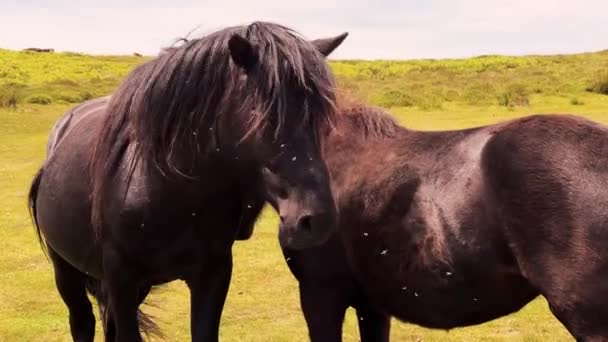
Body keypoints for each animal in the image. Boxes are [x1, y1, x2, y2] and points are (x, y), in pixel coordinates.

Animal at [28, 22, 350, 342]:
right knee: (82, 322)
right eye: (265, 116)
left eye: (320, 116)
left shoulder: (212, 275)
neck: (167, 190)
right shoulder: (121, 278)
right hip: (66, 271)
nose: (317, 220)